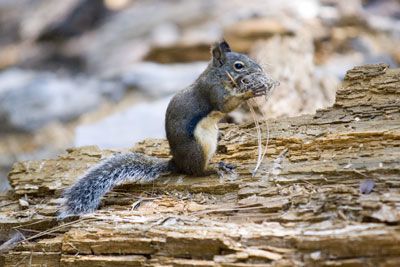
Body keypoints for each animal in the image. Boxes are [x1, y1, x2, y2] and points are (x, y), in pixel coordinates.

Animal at [59, 40, 272, 220]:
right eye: (239, 65)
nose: (260, 69)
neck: (217, 75)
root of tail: (177, 162)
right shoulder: (213, 92)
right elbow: (226, 104)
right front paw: (251, 91)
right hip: (199, 147)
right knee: (196, 171)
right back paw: (213, 168)